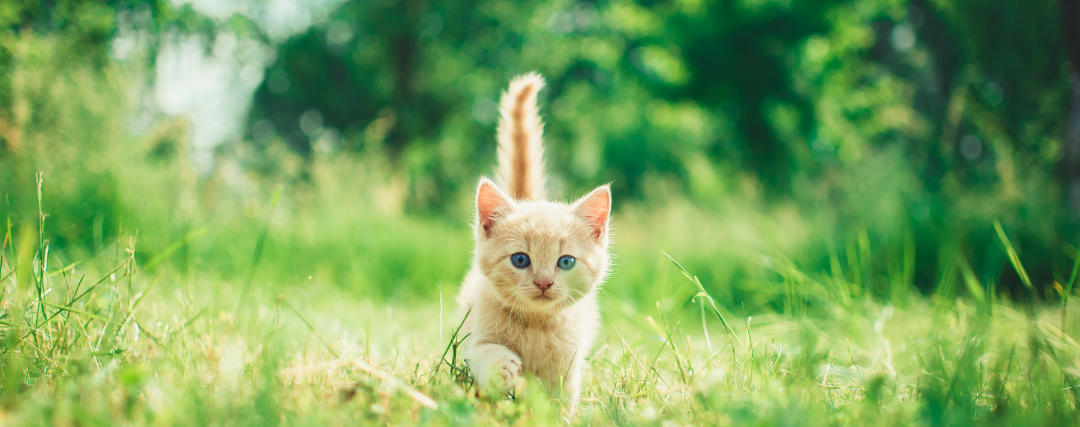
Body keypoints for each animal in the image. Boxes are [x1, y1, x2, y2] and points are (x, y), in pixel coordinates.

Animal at [453, 73, 613, 410]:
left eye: (566, 261)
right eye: (520, 259)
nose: (543, 283)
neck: (535, 326)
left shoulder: (568, 363)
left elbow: (561, 397)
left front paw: (557, 415)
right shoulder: (474, 337)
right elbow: (482, 353)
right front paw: (501, 366)